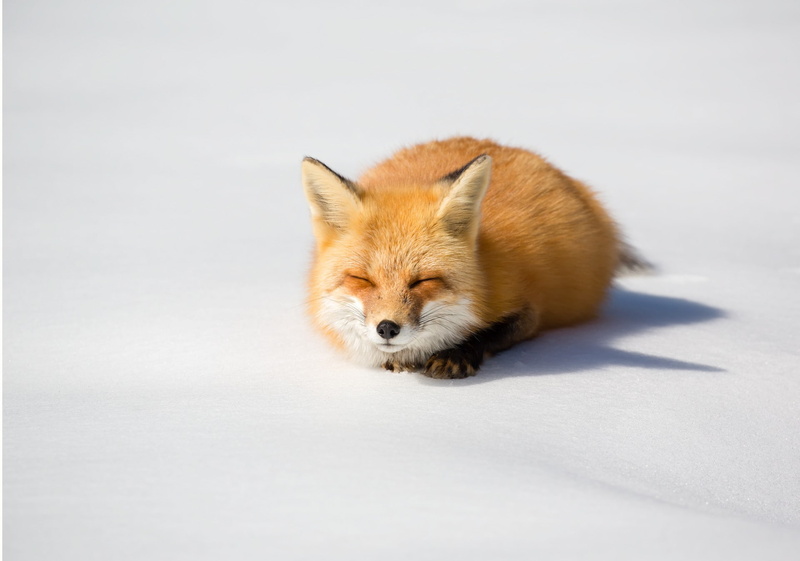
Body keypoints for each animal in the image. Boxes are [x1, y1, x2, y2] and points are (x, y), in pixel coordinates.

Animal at [301, 137, 646, 379]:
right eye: (362, 279)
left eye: (423, 281)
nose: (387, 328)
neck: (484, 268)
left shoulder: (529, 310)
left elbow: (490, 333)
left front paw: (455, 355)